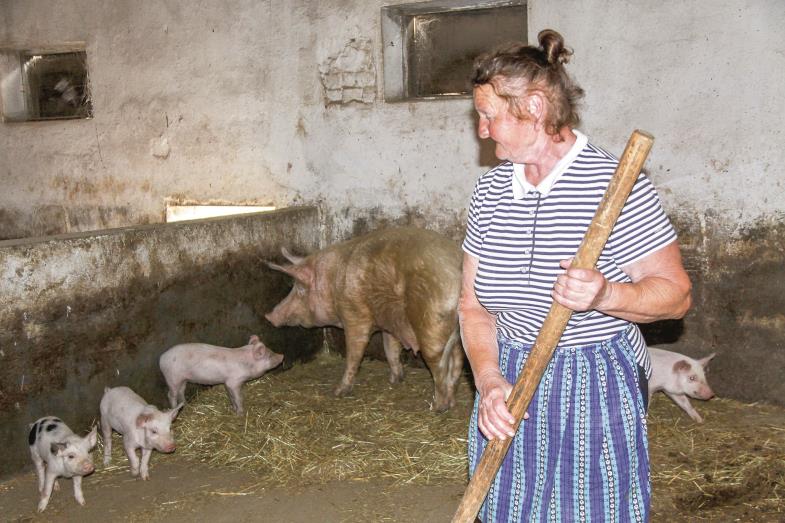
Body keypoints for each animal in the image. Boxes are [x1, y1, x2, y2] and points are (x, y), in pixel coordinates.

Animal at [266, 227, 462, 412]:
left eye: (300, 289)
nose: (269, 316)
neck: (332, 282)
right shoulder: (389, 323)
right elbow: (390, 349)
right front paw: (395, 380)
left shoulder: (354, 315)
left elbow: (354, 354)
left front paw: (338, 392)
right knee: (457, 363)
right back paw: (451, 403)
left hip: (432, 325)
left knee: (440, 366)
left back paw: (438, 407)